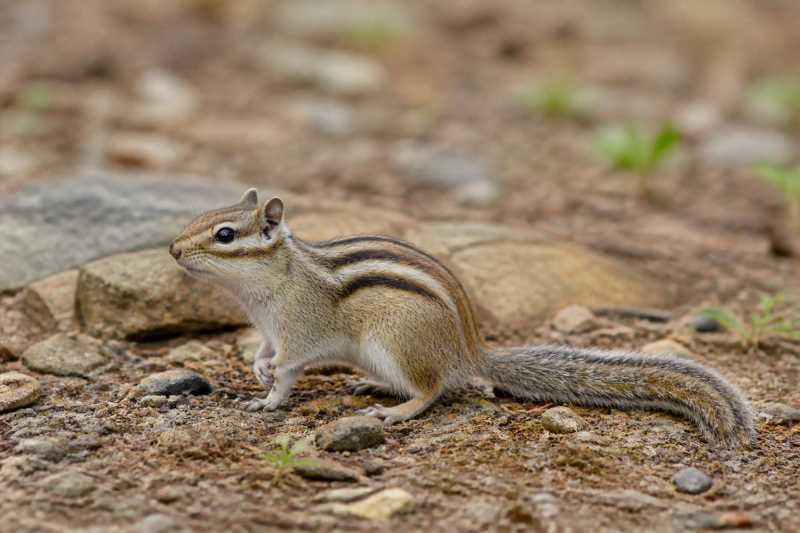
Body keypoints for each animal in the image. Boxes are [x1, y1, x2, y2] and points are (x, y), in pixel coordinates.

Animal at [170, 189, 755, 448]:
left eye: (225, 235)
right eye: (200, 218)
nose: (173, 250)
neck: (269, 282)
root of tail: (470, 350)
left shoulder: (300, 329)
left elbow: (290, 366)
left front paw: (268, 392)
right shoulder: (268, 329)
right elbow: (269, 357)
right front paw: (258, 378)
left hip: (395, 344)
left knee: (433, 389)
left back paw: (397, 411)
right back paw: (374, 389)